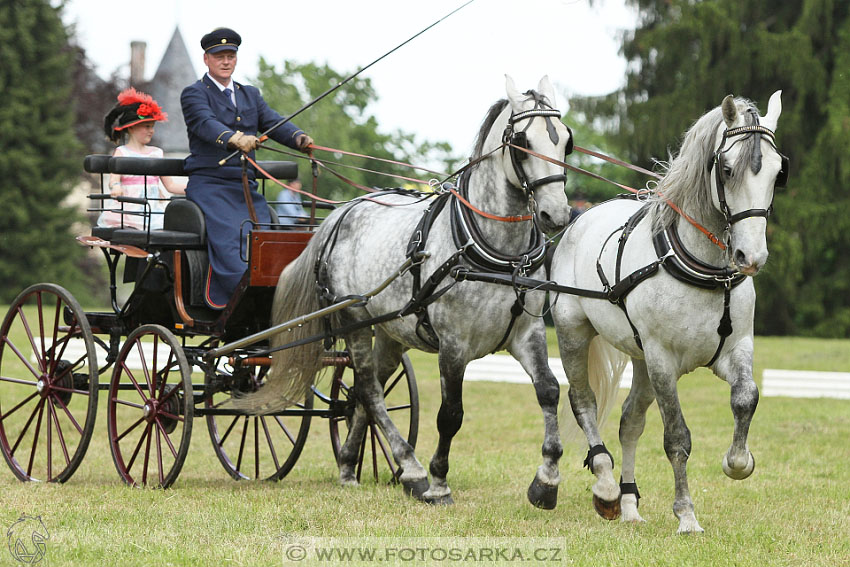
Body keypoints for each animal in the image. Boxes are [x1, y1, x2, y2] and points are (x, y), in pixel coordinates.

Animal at [235, 75, 572, 506]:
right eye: (522, 142)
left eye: (566, 141)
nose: (556, 215)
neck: (493, 250)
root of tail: (341, 213)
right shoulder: (454, 344)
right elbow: (451, 414)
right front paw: (439, 481)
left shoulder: (527, 334)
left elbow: (549, 390)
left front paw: (547, 480)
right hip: (354, 318)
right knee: (369, 389)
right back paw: (410, 469)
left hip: (392, 332)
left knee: (364, 392)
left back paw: (350, 464)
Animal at [552, 90, 784, 532]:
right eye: (726, 169)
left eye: (778, 174)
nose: (751, 257)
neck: (706, 268)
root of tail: (581, 216)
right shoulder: (663, 361)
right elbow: (677, 437)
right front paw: (687, 515)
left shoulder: (735, 349)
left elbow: (746, 397)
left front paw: (738, 462)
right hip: (574, 332)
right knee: (584, 402)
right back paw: (606, 489)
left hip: (640, 357)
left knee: (630, 422)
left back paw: (628, 506)